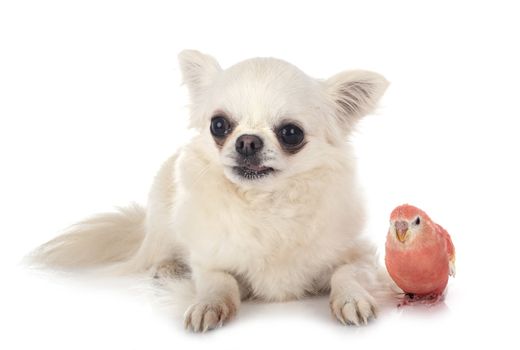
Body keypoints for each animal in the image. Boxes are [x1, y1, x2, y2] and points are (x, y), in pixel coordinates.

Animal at [31, 49, 390, 330]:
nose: (247, 141)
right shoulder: (209, 262)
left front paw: (352, 299)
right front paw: (208, 306)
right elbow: (220, 281)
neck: (265, 204)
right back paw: (167, 267)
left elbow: (346, 275)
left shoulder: (359, 255)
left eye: (291, 133)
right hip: (161, 213)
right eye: (219, 125)